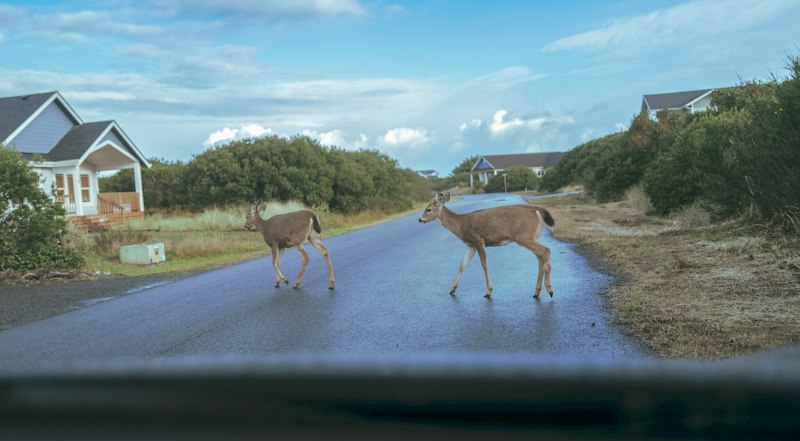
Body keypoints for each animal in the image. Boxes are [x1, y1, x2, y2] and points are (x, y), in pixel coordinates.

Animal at [418, 191, 555, 299]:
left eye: (428, 209)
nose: (420, 219)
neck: (460, 225)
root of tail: (537, 210)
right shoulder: (471, 246)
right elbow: (462, 265)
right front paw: (452, 289)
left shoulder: (478, 241)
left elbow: (484, 265)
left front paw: (488, 291)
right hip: (531, 236)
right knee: (540, 258)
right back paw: (537, 292)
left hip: (523, 236)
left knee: (546, 250)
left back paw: (550, 289)